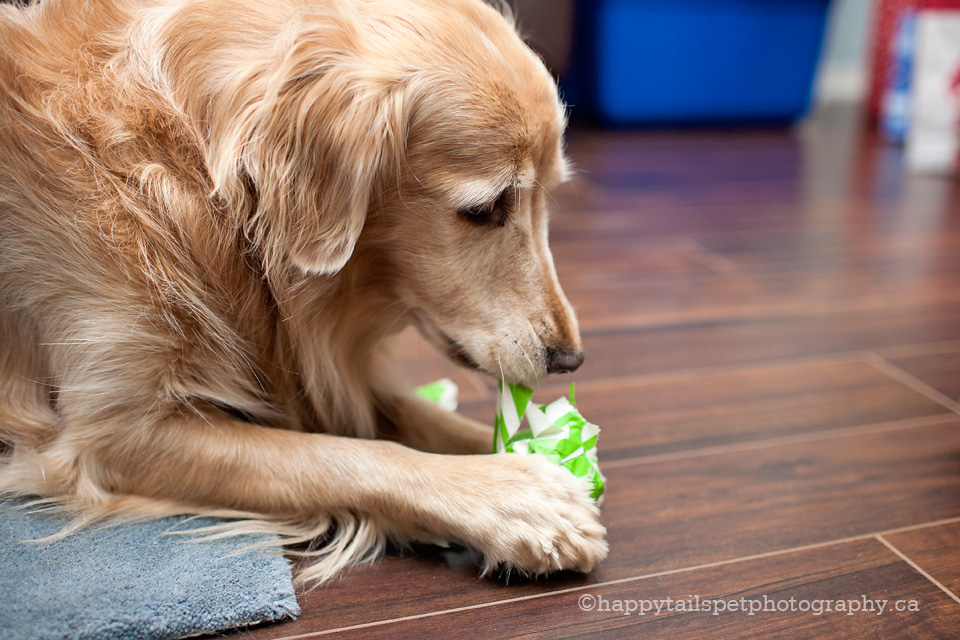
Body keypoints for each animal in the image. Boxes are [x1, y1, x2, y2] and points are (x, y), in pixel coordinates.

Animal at [0, 0, 608, 584]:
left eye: (548, 196)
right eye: (485, 208)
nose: (570, 359)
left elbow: (426, 421)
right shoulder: (117, 436)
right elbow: (345, 456)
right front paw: (516, 500)